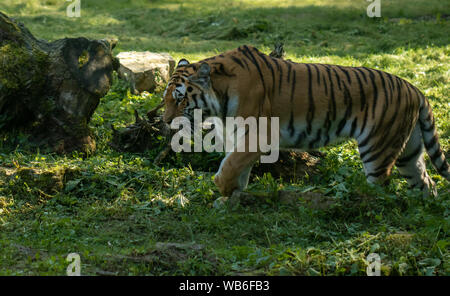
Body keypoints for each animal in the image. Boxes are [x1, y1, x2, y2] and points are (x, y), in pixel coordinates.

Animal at [163, 45, 450, 198]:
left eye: (180, 99)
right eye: (165, 99)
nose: (166, 122)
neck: (219, 100)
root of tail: (416, 89)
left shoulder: (260, 135)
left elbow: (231, 165)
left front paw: (223, 190)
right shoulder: (238, 137)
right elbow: (236, 167)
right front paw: (231, 197)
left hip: (377, 148)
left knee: (380, 188)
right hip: (408, 150)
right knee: (426, 181)